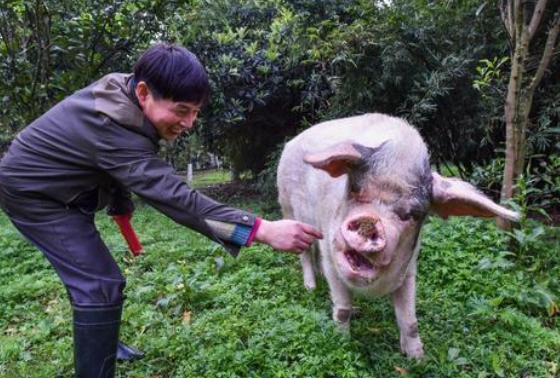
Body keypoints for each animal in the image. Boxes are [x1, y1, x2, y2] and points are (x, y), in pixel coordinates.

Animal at [278, 111, 520, 358]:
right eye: (355, 190)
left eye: (411, 214)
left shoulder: (409, 268)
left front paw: (417, 358)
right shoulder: (332, 257)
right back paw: (311, 287)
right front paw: (342, 344)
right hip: (288, 208)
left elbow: (410, 320)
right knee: (304, 252)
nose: (369, 221)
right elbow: (342, 310)